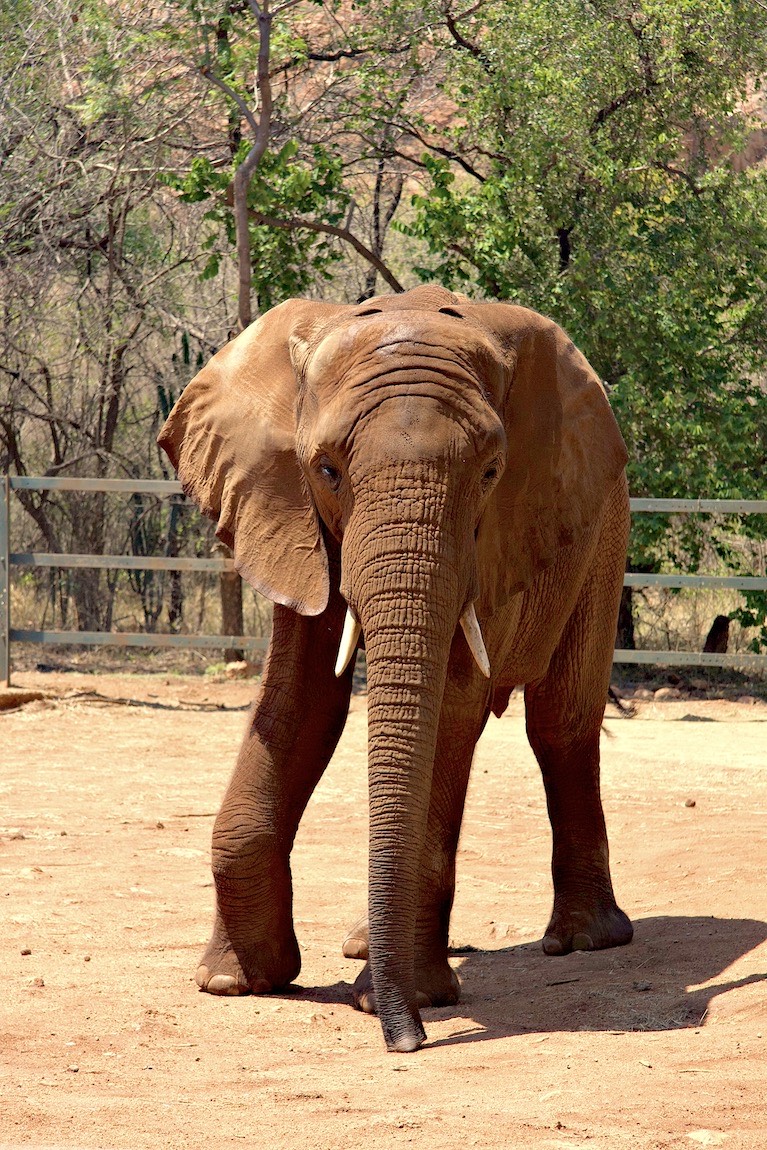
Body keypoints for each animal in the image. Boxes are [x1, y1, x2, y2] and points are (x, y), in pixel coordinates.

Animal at [158, 284, 633, 1053]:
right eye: (326, 470)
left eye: (491, 474)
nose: (404, 1042)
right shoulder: (294, 517)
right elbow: (301, 698)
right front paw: (232, 982)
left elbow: (452, 703)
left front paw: (406, 999)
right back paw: (361, 944)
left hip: (602, 521)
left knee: (561, 721)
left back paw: (583, 942)